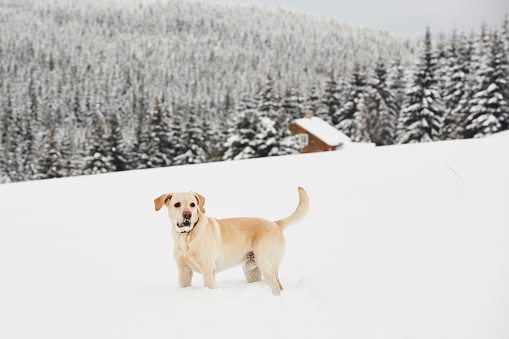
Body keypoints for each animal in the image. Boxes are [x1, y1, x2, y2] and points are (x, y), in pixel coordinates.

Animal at [153, 187, 308, 296]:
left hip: (266, 264)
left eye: (192, 204)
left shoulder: (208, 271)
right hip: (251, 271)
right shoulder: (183, 271)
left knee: (278, 287)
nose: (187, 215)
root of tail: (275, 223)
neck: (187, 237)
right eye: (177, 204)